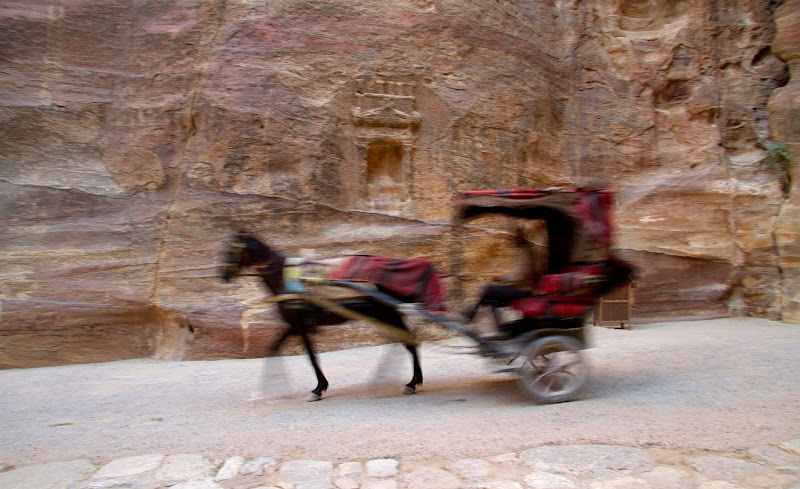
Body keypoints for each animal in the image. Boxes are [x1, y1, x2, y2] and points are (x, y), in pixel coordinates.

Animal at [216, 232, 422, 400]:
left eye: (230, 249)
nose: (222, 274)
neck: (284, 280)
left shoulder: (299, 326)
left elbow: (311, 357)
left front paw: (318, 388)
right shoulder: (294, 325)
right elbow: (274, 348)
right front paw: (272, 387)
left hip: (387, 314)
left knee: (409, 342)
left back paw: (409, 382)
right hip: (386, 315)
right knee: (407, 341)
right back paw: (408, 380)